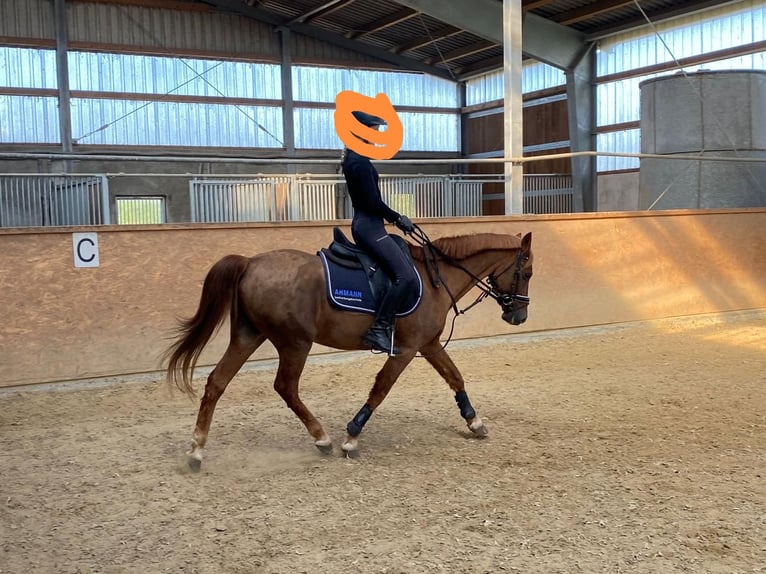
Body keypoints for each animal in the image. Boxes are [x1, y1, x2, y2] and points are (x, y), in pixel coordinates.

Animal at [165, 227, 536, 470]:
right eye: (528, 272)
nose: (518, 316)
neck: (435, 279)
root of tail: (250, 262)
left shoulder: (428, 344)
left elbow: (455, 378)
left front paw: (475, 423)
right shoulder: (406, 349)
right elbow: (381, 388)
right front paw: (351, 438)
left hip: (249, 335)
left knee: (217, 382)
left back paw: (196, 451)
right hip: (294, 342)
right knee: (285, 387)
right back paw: (322, 439)